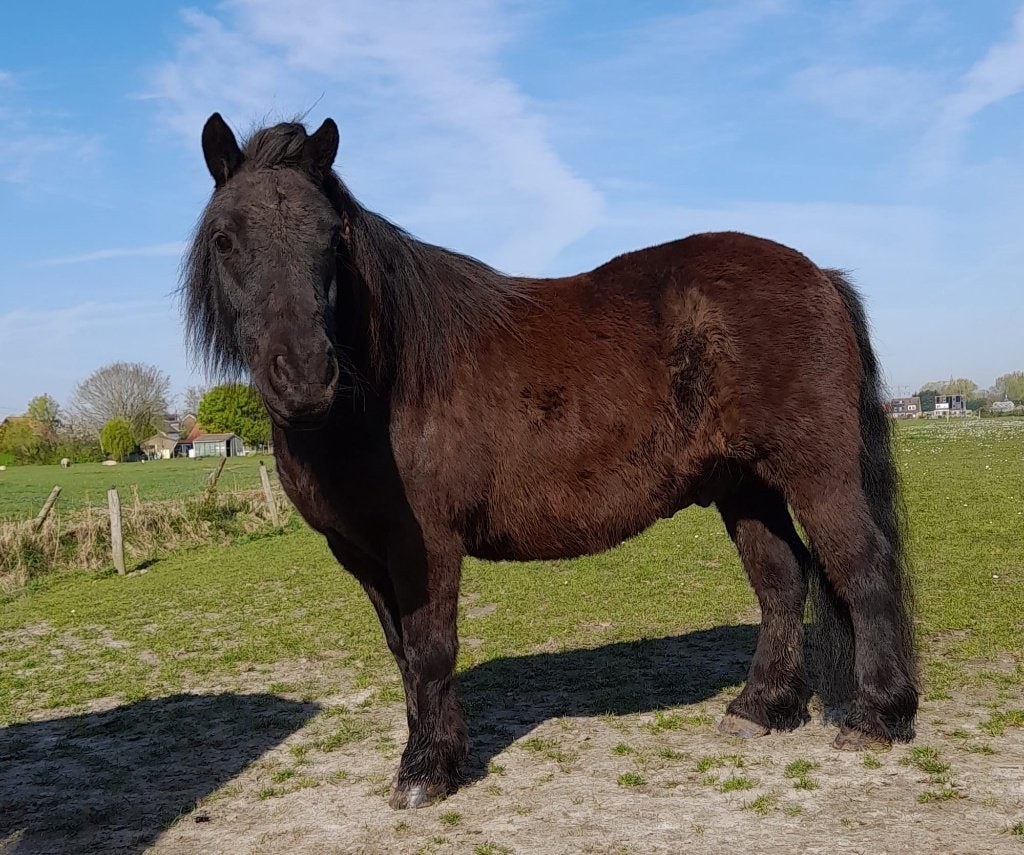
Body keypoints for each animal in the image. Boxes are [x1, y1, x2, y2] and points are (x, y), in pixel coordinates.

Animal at [185, 113, 918, 809]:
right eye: (225, 238)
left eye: (330, 236)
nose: (305, 377)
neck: (381, 390)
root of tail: (819, 276)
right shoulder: (359, 553)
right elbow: (403, 656)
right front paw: (436, 753)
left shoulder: (426, 545)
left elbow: (430, 649)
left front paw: (425, 772)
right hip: (744, 486)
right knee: (782, 580)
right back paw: (761, 707)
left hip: (816, 473)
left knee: (861, 568)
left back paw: (877, 717)